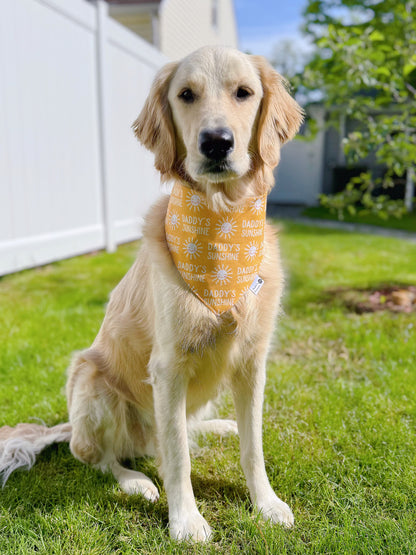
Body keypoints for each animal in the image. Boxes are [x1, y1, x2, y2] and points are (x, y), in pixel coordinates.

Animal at [0, 45, 302, 540]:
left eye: (244, 93)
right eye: (186, 95)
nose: (216, 142)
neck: (222, 226)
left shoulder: (252, 362)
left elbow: (252, 446)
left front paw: (267, 503)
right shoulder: (168, 368)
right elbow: (176, 455)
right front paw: (186, 520)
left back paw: (219, 426)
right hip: (93, 382)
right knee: (101, 458)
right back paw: (135, 481)